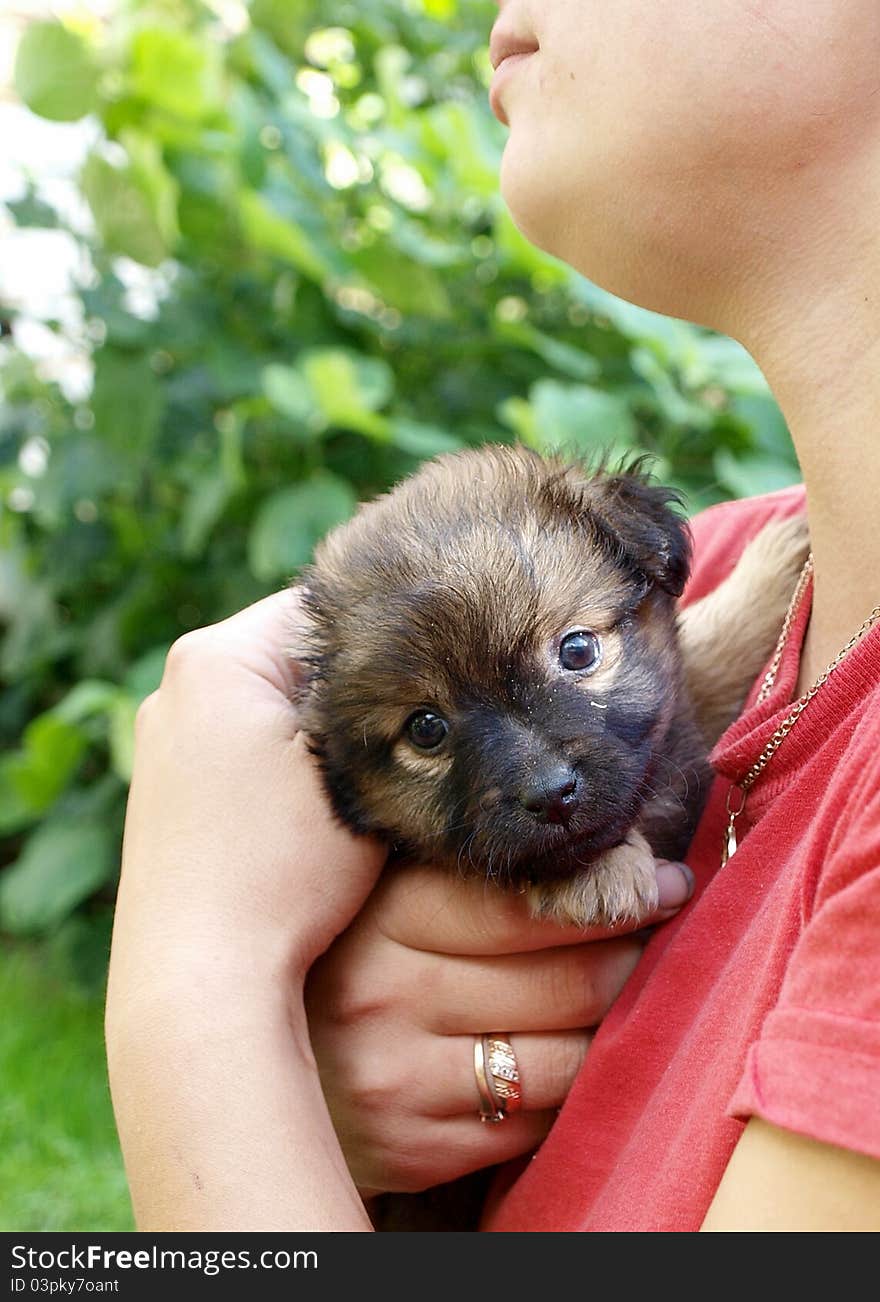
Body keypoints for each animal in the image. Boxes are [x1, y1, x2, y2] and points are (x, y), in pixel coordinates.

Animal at [290, 445, 812, 927]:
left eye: (577, 650)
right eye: (425, 729)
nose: (551, 795)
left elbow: (715, 649)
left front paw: (781, 559)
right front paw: (598, 873)